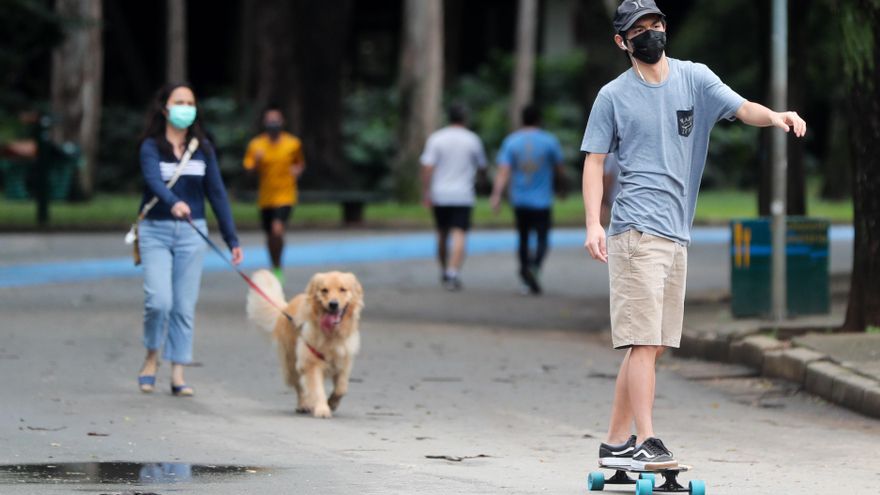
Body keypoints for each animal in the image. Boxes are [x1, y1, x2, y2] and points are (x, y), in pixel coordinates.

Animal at [246, 272, 362, 418]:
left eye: (342, 289)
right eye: (324, 290)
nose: (333, 304)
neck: (331, 334)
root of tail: (285, 308)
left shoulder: (344, 362)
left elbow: (342, 388)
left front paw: (332, 403)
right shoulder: (311, 363)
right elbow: (317, 389)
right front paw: (322, 409)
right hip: (291, 364)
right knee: (300, 386)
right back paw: (304, 405)